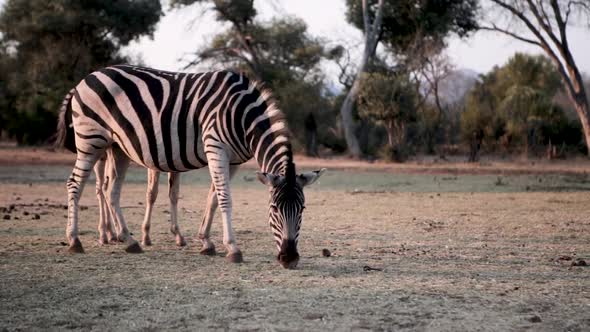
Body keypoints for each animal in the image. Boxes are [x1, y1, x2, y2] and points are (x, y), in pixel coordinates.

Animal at [56, 64, 326, 268]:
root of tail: (84, 79)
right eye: (273, 209)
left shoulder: (233, 159)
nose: (289, 259)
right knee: (75, 184)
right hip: (91, 139)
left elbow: (214, 198)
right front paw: (233, 248)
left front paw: (206, 242)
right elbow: (225, 198)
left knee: (111, 191)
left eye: (302, 209)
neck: (242, 117)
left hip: (117, 147)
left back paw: (129, 240)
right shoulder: (215, 146)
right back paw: (75, 240)